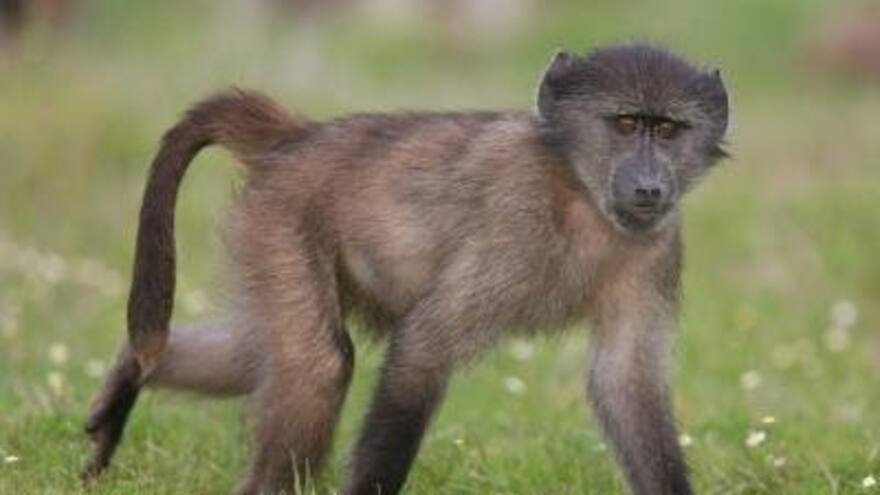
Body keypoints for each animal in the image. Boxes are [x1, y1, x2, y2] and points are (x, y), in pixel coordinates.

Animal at [82, 43, 729, 495]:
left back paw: (126, 373)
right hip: (281, 223)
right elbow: (423, 348)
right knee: (319, 365)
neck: (580, 192)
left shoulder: (655, 248)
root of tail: (300, 138)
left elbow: (625, 379)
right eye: (625, 124)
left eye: (668, 129)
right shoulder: (511, 220)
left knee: (254, 355)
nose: (649, 187)